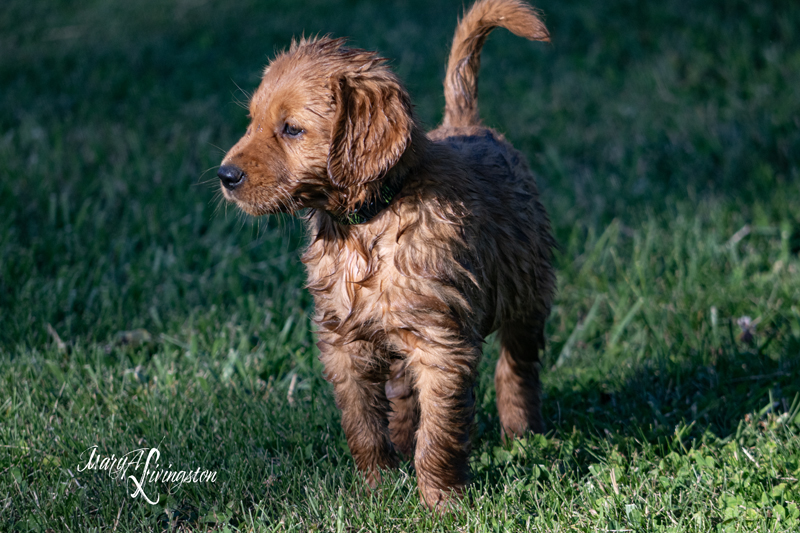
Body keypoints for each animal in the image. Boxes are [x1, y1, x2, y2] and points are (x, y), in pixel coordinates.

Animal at [219, 0, 556, 508]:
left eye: (291, 129)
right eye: (253, 121)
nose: (225, 175)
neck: (366, 226)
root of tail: (465, 124)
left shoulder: (441, 345)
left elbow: (439, 433)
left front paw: (442, 501)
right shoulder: (342, 340)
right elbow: (362, 423)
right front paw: (377, 485)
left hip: (528, 290)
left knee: (516, 368)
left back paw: (523, 434)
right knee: (403, 394)